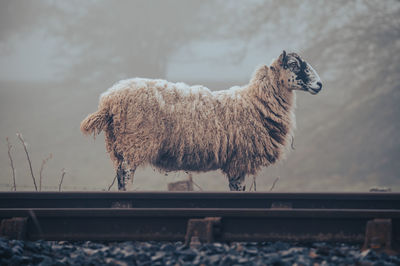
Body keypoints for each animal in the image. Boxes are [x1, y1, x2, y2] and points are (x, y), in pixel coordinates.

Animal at [80, 50, 322, 191]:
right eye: (294, 64)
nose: (319, 85)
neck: (255, 101)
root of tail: (109, 100)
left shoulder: (236, 160)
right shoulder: (239, 159)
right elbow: (237, 188)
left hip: (119, 145)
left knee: (120, 173)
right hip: (134, 142)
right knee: (125, 173)